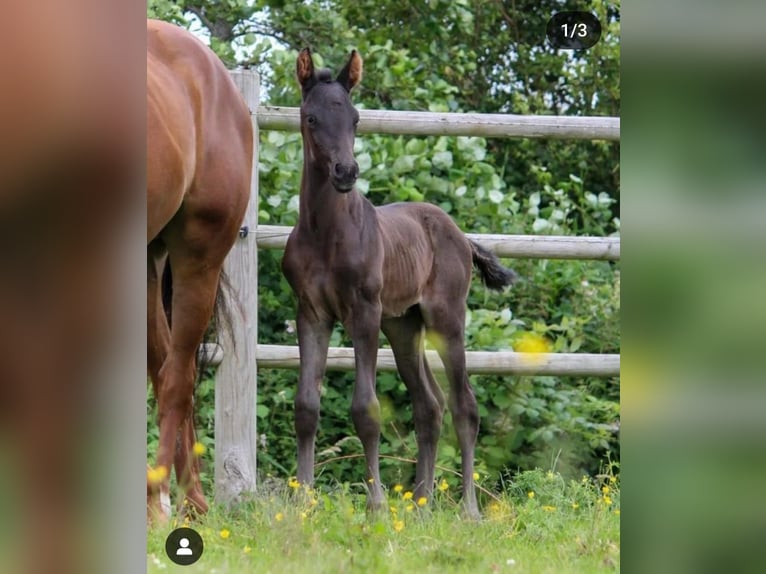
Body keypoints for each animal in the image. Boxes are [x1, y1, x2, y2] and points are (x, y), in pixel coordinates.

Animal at [282, 47, 516, 520]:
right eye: (311, 117)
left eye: (355, 117)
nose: (346, 172)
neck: (325, 232)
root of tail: (461, 235)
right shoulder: (311, 313)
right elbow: (306, 406)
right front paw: (302, 501)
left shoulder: (363, 312)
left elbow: (366, 408)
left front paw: (375, 505)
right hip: (404, 326)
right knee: (430, 405)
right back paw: (423, 505)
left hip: (445, 319)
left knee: (464, 404)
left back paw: (468, 509)